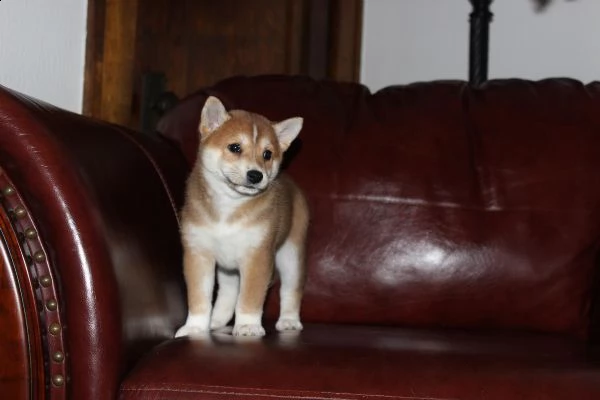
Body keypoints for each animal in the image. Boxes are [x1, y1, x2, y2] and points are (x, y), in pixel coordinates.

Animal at [172, 97, 304, 338]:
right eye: (235, 147)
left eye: (267, 154)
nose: (256, 175)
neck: (229, 205)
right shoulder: (198, 254)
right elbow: (199, 298)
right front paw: (195, 327)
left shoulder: (257, 256)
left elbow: (249, 298)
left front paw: (248, 325)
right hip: (228, 267)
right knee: (228, 293)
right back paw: (216, 321)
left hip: (291, 255)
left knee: (291, 291)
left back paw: (289, 321)